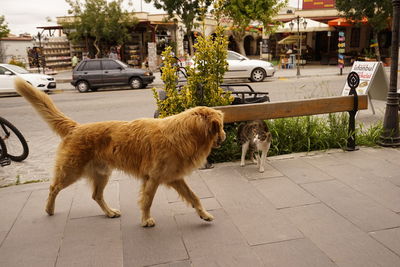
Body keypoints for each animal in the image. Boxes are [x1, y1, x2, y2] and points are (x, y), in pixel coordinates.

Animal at [14, 78, 225, 228]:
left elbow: (194, 197)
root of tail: (76, 127)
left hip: (102, 174)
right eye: (221, 126)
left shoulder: (174, 177)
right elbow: (147, 201)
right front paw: (146, 220)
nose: (224, 136)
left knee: (96, 196)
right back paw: (49, 209)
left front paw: (204, 214)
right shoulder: (153, 178)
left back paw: (109, 212)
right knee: (54, 187)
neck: (182, 133)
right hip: (71, 171)